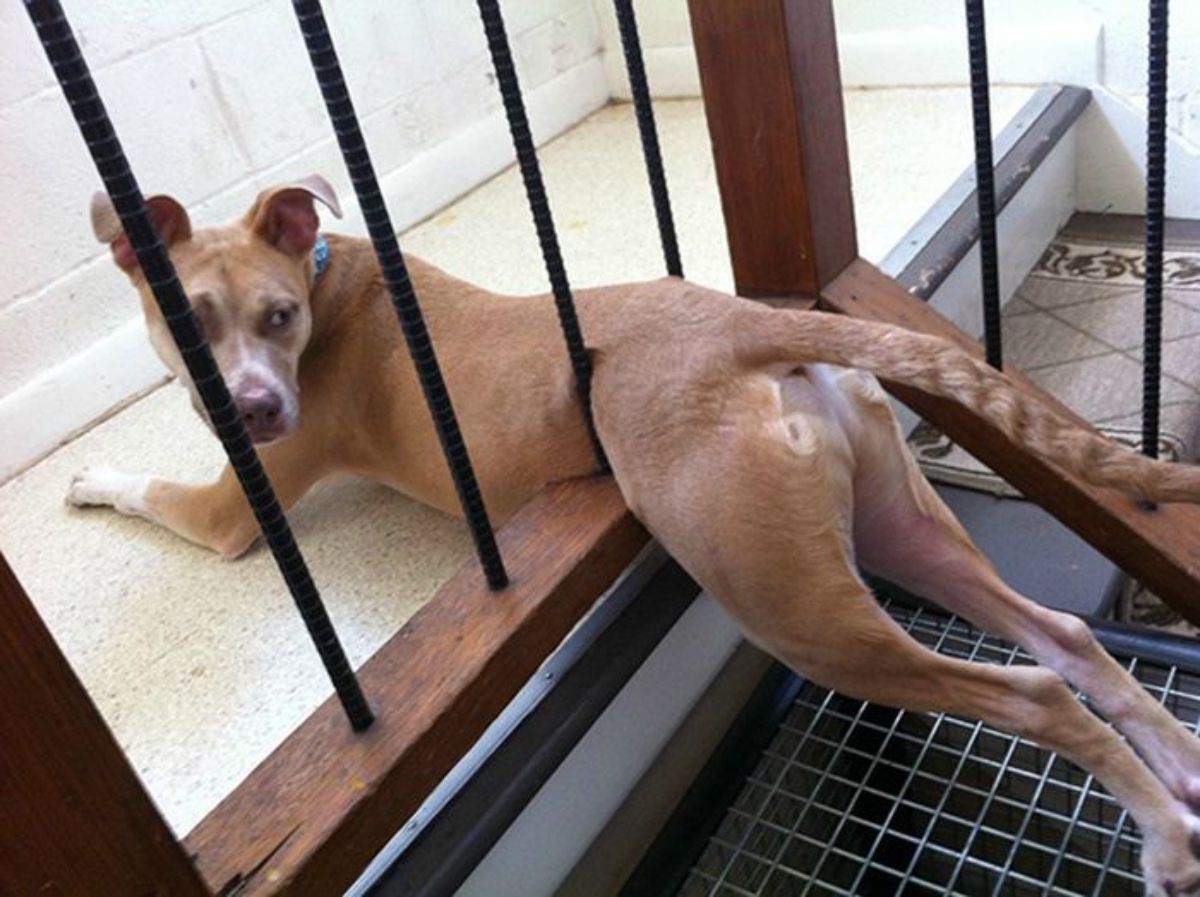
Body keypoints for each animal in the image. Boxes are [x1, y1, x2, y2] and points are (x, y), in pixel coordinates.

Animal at [72, 178, 1200, 892]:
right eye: (190, 320)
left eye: (276, 319)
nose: (257, 410)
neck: (322, 276)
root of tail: (740, 324)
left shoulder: (236, 504)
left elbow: (157, 492)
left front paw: (90, 478)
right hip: (895, 526)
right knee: (1065, 635)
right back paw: (1181, 774)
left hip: (794, 610)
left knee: (1035, 689)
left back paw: (1164, 845)